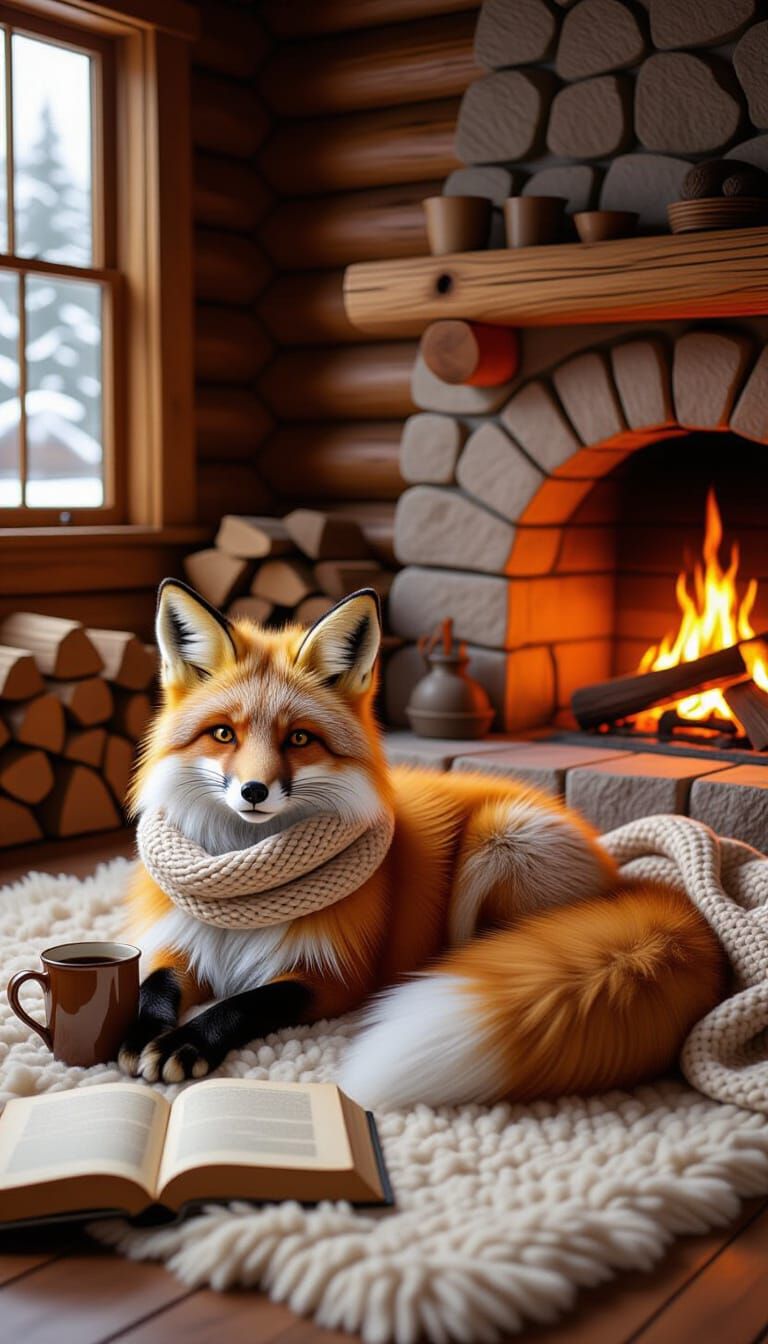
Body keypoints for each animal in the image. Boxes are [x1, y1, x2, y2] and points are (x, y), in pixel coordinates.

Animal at [118, 578, 728, 1109]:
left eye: (299, 739)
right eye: (224, 733)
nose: (253, 791)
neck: (240, 893)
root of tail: (619, 879)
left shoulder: (332, 978)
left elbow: (250, 1001)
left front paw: (187, 1041)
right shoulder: (182, 940)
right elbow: (153, 980)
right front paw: (140, 1031)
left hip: (499, 842)